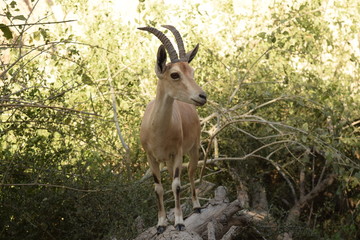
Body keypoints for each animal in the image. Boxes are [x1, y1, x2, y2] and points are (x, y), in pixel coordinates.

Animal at [137, 25, 205, 233]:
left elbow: (176, 185)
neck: (158, 132)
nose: (202, 96)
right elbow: (158, 188)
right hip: (166, 160)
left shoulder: (178, 153)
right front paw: (161, 224)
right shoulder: (151, 158)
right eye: (175, 74)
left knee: (191, 172)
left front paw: (179, 222)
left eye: (191, 71)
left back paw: (196, 206)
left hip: (193, 149)